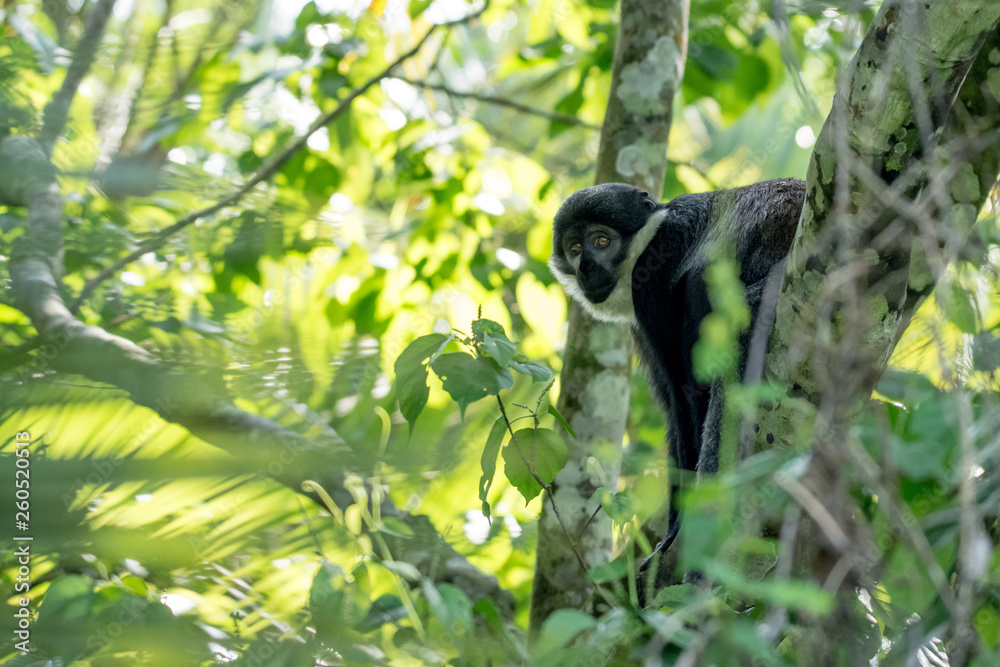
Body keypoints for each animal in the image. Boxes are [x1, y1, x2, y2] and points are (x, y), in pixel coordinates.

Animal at [548, 178, 805, 602]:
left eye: (601, 241)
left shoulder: (652, 274)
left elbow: (687, 394)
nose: (586, 268)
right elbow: (672, 405)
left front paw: (675, 533)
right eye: (574, 247)